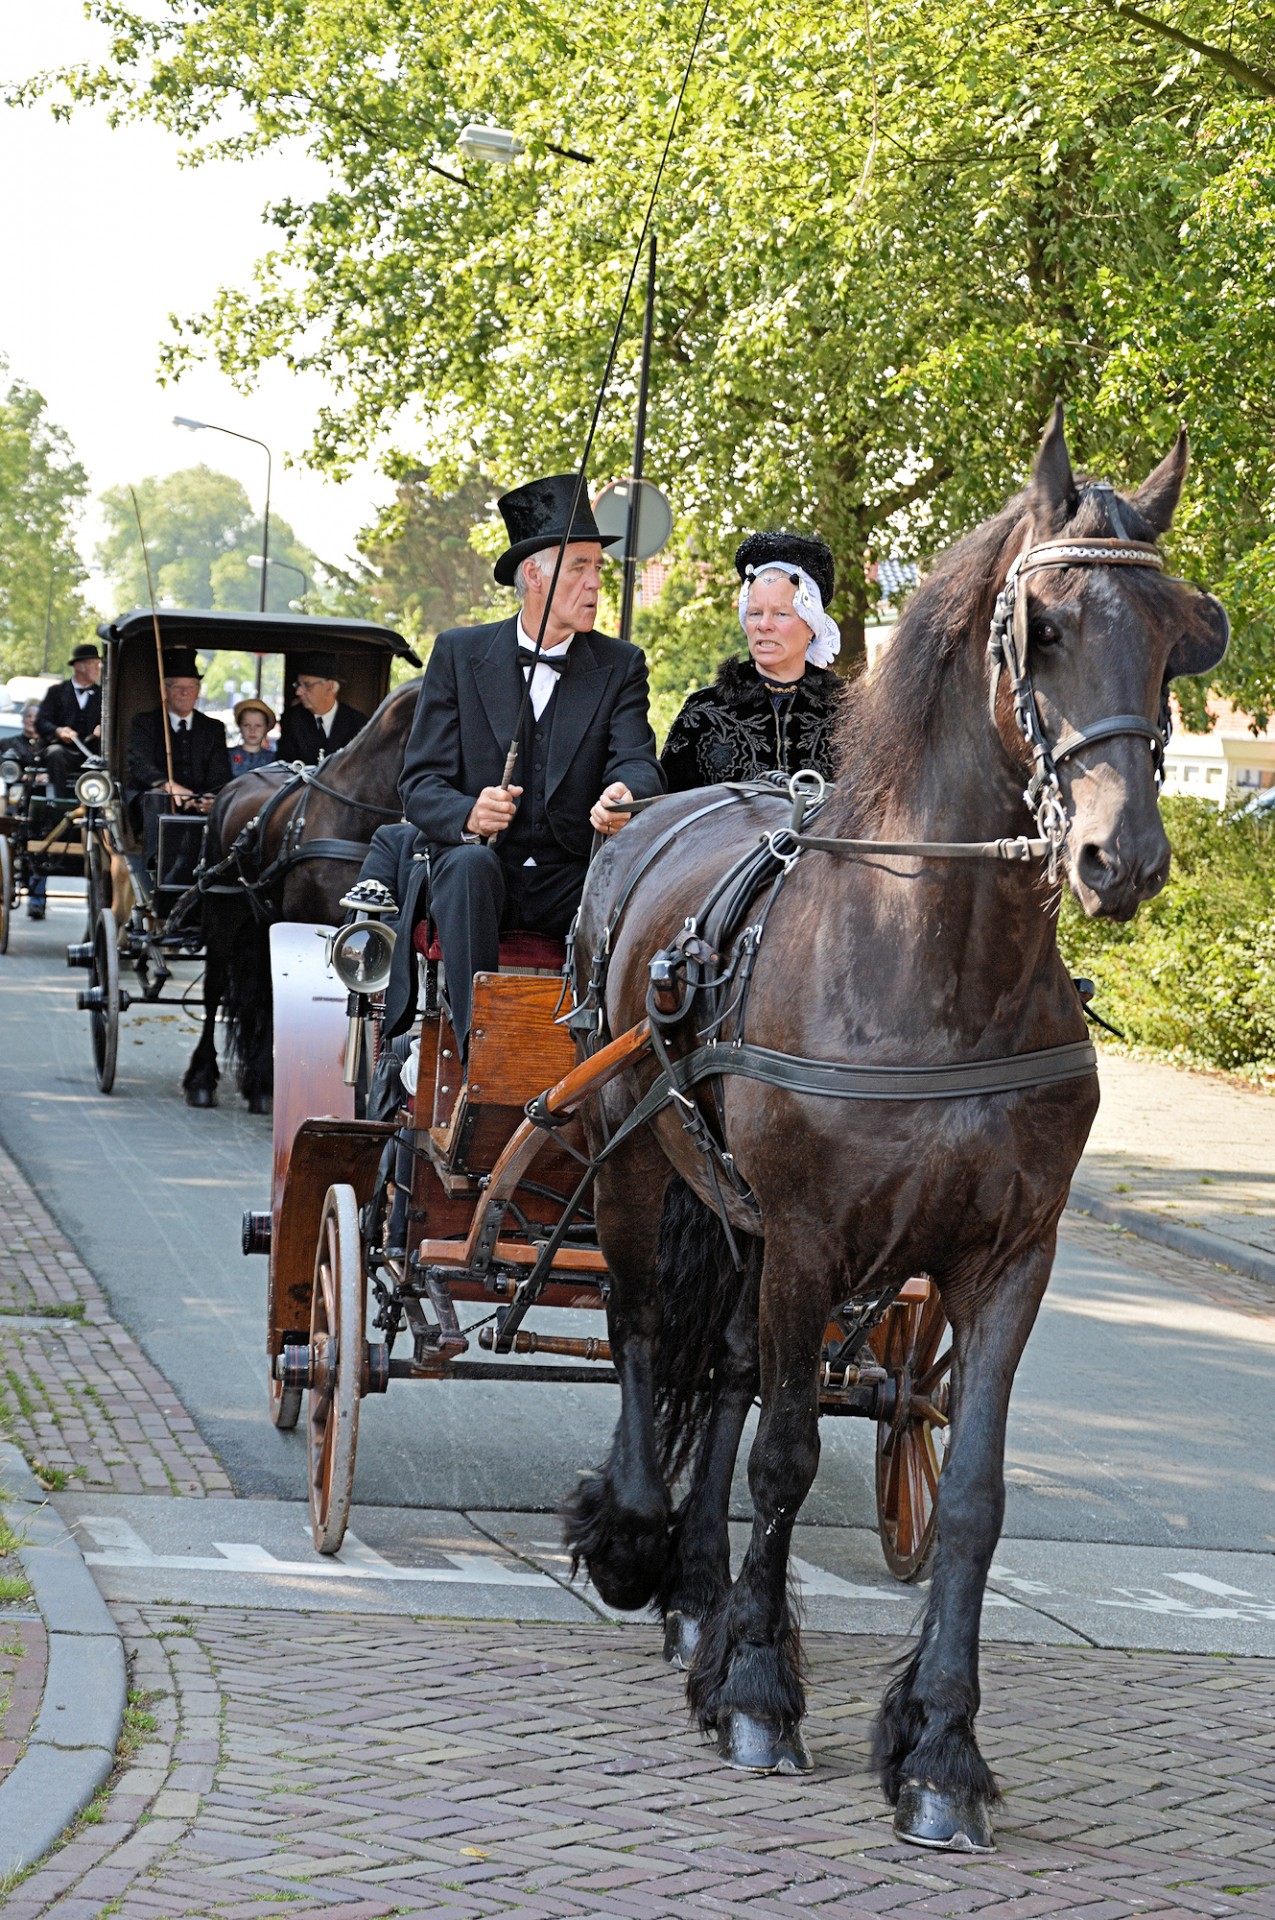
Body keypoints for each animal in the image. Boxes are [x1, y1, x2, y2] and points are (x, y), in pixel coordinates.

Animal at [181, 683, 420, 1113]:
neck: (353, 815)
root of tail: (230, 790)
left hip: (263, 924)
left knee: (263, 994)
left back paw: (260, 1082)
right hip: (223, 912)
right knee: (214, 991)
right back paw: (203, 1078)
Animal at [564, 412, 1228, 1850]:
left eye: (1176, 632)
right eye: (1039, 625)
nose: (1122, 858)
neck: (938, 967)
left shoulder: (1006, 1258)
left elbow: (967, 1499)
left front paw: (937, 1752)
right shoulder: (813, 1231)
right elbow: (786, 1454)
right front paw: (760, 1694)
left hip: (747, 1223)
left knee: (725, 1373)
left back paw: (697, 1593)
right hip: (639, 1162)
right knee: (645, 1337)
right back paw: (637, 1544)